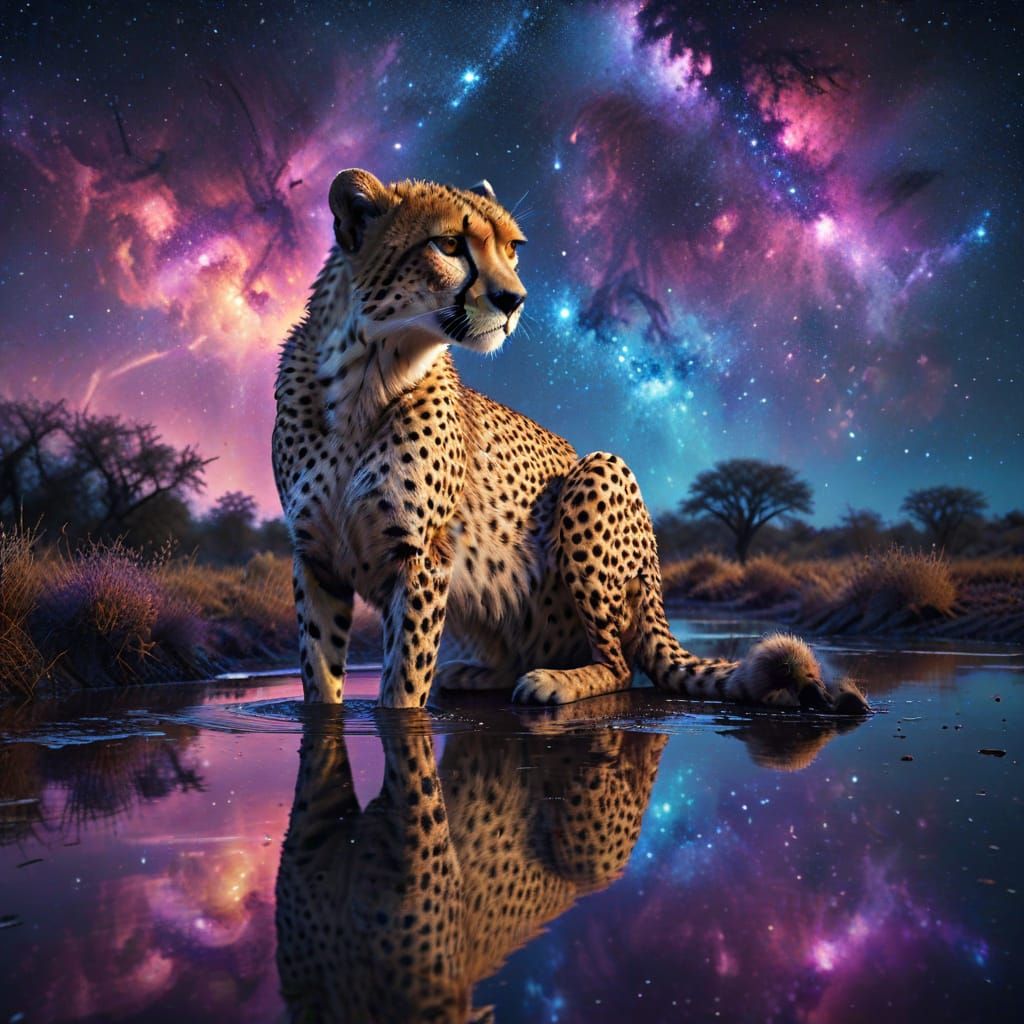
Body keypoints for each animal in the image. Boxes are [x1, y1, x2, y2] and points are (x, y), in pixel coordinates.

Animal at [272, 168, 869, 714]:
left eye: (512, 249)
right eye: (449, 245)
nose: (514, 300)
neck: (362, 376)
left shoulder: (422, 557)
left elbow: (404, 682)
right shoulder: (316, 558)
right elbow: (320, 674)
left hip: (599, 472)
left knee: (621, 666)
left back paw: (554, 682)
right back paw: (475, 673)